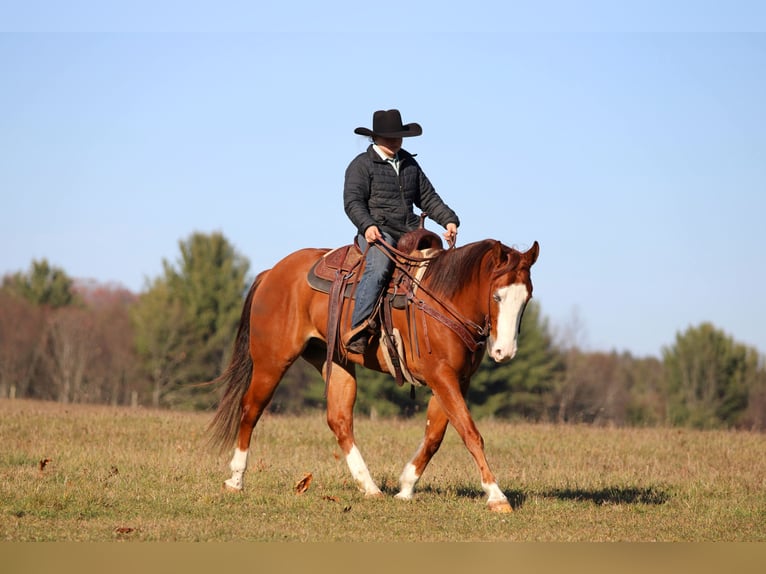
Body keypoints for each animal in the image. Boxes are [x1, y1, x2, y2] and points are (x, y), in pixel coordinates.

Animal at [207, 233, 539, 512]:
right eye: (496, 297)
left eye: (527, 298)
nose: (505, 351)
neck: (444, 298)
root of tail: (271, 273)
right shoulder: (441, 376)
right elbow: (470, 433)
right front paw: (496, 495)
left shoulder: (456, 380)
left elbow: (435, 435)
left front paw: (406, 486)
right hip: (272, 361)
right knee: (251, 409)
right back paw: (235, 479)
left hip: (335, 362)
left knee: (339, 420)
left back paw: (369, 486)